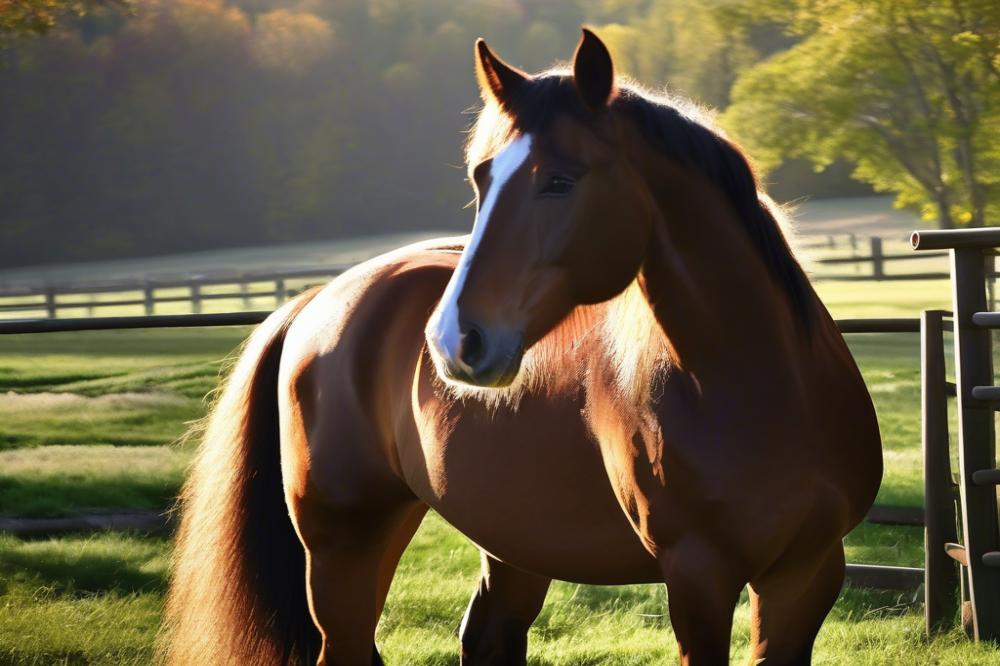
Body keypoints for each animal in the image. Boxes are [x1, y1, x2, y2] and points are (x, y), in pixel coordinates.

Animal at [164, 27, 884, 664]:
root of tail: (317, 300)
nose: (453, 340)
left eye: (561, 179)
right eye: (482, 179)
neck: (762, 389)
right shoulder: (698, 581)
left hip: (507, 543)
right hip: (344, 543)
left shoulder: (807, 575)